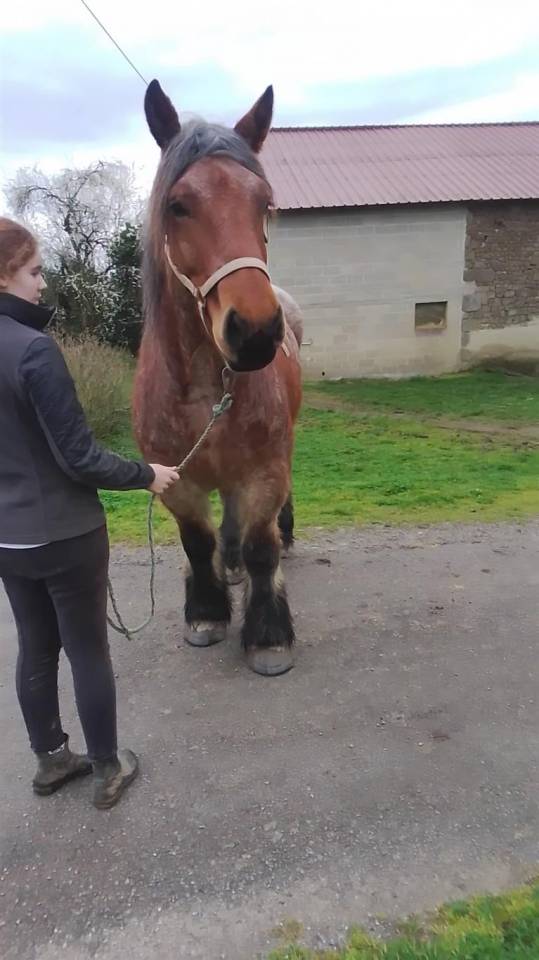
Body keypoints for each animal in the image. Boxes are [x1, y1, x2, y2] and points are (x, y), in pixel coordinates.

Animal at [133, 80, 303, 676]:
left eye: (264, 202)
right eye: (178, 205)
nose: (254, 331)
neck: (207, 390)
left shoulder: (265, 472)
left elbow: (261, 547)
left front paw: (269, 634)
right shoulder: (176, 482)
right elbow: (196, 542)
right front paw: (206, 612)